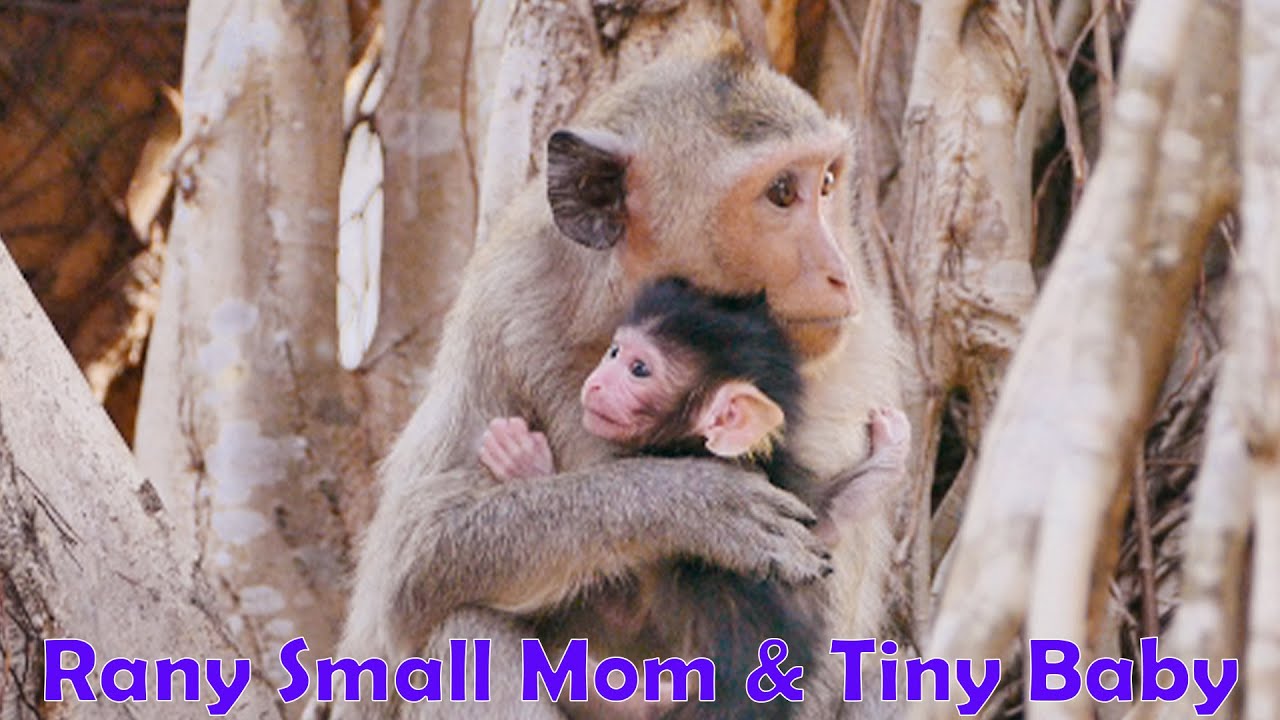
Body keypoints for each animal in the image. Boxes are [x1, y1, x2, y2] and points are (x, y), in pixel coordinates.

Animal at [478, 277, 911, 719]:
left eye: (639, 369)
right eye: (614, 351)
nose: (596, 382)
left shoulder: (669, 560)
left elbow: (613, 607)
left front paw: (522, 459)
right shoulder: (786, 488)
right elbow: (833, 518)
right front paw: (890, 450)